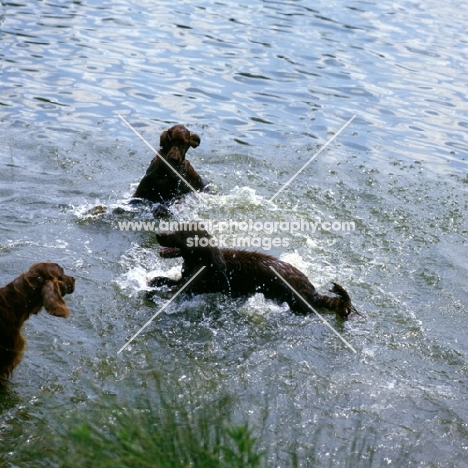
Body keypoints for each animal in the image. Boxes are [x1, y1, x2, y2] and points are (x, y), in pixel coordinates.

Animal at [148, 226, 356, 318]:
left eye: (182, 234)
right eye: (176, 227)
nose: (158, 234)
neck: (203, 262)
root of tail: (313, 293)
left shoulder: (192, 288)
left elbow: (171, 290)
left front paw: (150, 292)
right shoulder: (184, 280)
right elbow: (166, 280)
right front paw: (154, 280)